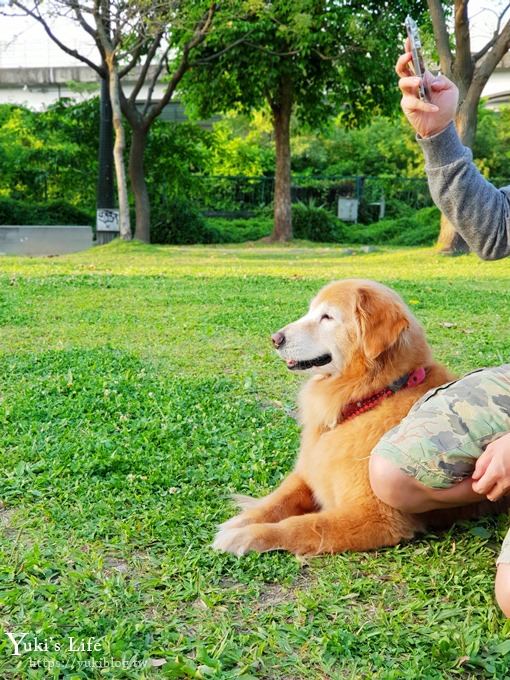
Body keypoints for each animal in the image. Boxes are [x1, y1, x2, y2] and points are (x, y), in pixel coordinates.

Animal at [212, 278, 506, 556]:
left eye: (327, 317)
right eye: (310, 311)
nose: (275, 338)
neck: (369, 396)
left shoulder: (376, 517)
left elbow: (305, 525)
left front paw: (248, 536)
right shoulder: (308, 472)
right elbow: (278, 499)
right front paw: (242, 520)